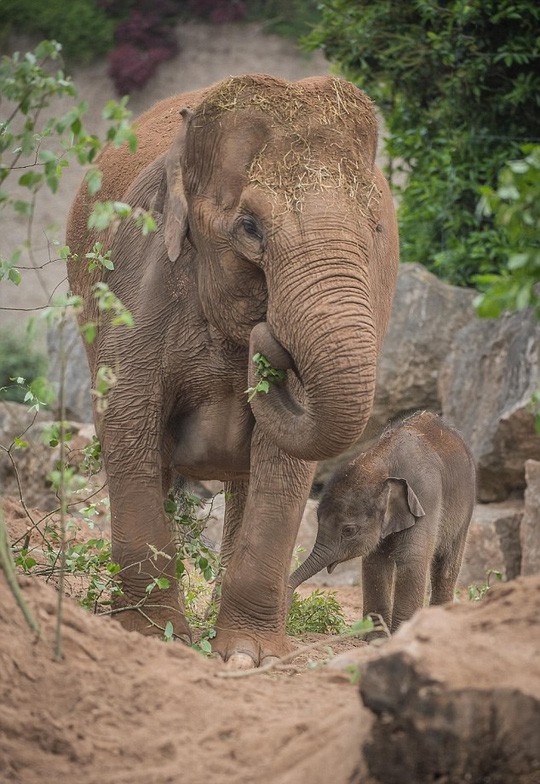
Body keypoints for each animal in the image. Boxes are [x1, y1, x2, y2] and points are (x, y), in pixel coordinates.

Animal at [66, 73, 396, 668]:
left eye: (375, 227)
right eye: (250, 227)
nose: (267, 340)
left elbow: (283, 461)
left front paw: (247, 654)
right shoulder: (139, 284)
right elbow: (127, 423)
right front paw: (152, 638)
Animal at [288, 414, 474, 632]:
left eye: (349, 530)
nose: (289, 603)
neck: (380, 463)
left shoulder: (426, 496)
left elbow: (412, 558)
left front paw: (400, 635)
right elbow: (375, 561)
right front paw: (376, 637)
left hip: (466, 511)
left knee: (446, 566)